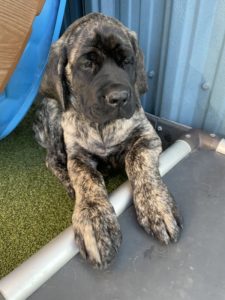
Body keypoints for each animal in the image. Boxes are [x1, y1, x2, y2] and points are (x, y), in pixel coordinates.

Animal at [32, 12, 182, 268]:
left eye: (127, 61)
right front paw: (95, 221)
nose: (119, 97)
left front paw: (157, 206)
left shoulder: (147, 136)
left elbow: (138, 161)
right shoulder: (77, 155)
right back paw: (68, 182)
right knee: (52, 160)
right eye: (87, 63)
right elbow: (86, 179)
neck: (102, 127)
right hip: (54, 113)